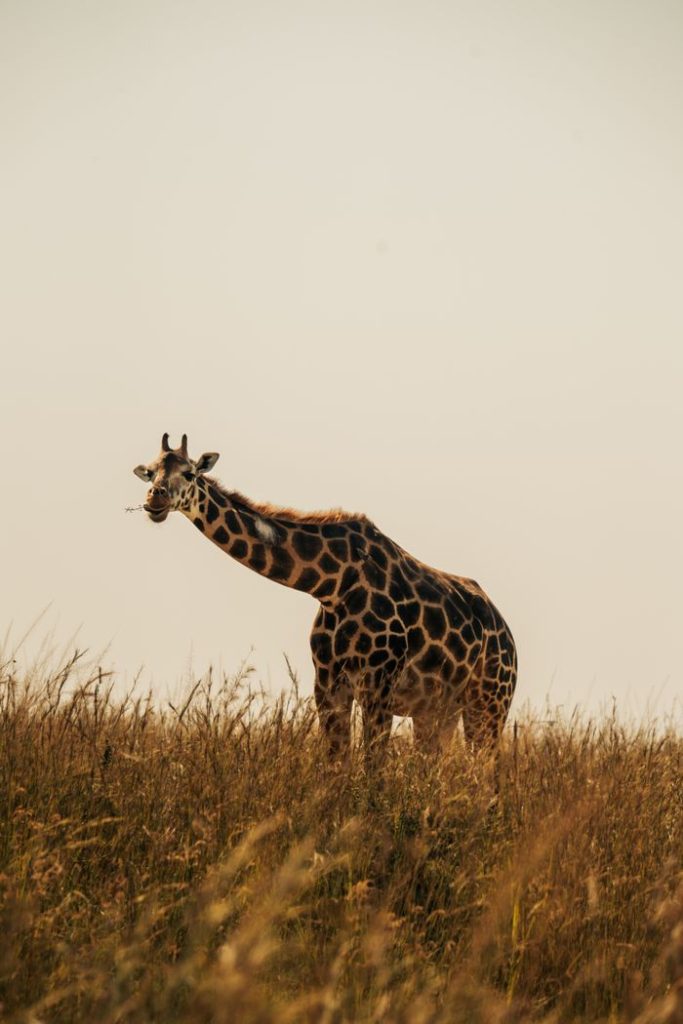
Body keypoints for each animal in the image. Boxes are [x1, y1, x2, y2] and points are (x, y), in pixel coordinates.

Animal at [133, 433, 517, 760]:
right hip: (438, 711)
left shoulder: (379, 684)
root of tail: (507, 635)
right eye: (150, 472)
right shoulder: (329, 684)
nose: (155, 499)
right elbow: (336, 764)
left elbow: (372, 767)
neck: (332, 586)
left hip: (489, 703)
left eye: (188, 472)